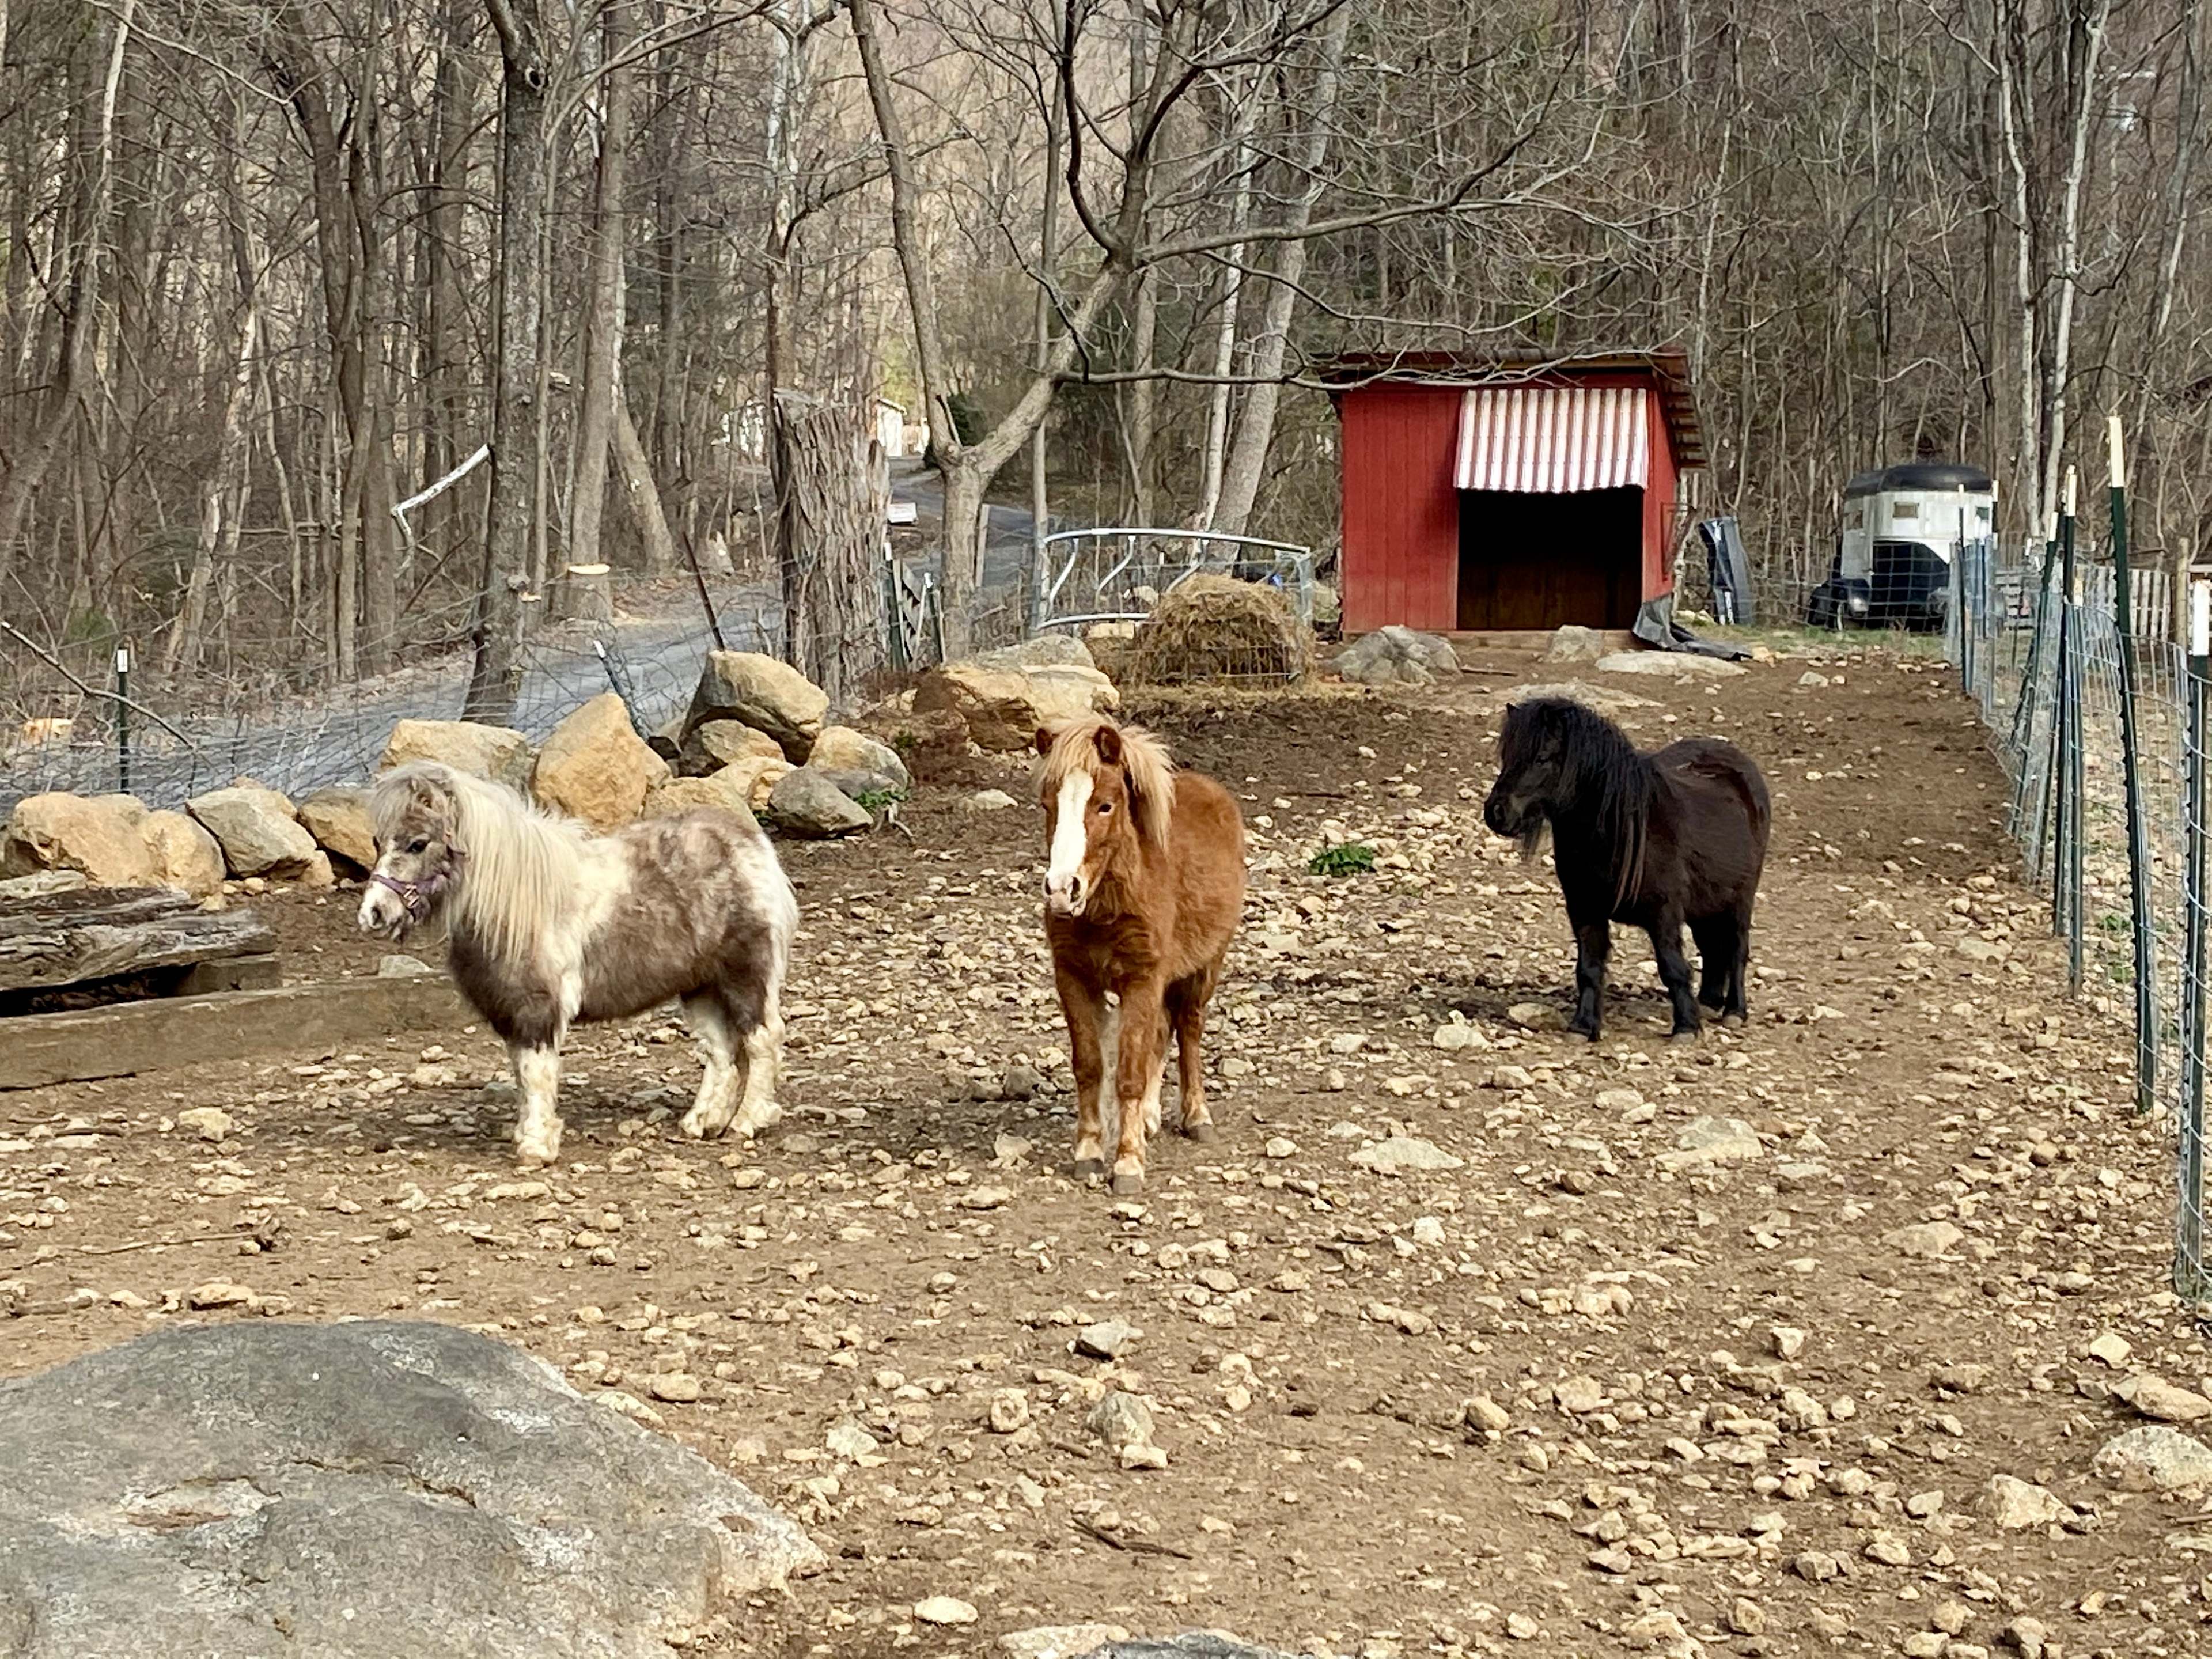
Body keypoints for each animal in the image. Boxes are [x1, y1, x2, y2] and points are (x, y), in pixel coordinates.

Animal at [358, 760, 798, 1167]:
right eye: (378, 841)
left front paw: (537, 1147)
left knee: (762, 1040)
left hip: (746, 977)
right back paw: (702, 1122)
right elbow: (521, 1075)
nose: (373, 914)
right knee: (721, 1050)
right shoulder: (513, 1015)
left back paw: (746, 1123)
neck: (517, 902)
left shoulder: (537, 1010)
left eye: (418, 844)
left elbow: (536, 1073)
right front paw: (527, 1134)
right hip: (701, 985)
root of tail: (752, 847)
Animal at [1034, 714, 1246, 1195]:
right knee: (1162, 1033)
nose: (1062, 889)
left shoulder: (1142, 978)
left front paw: (1128, 1163)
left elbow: (1129, 1070)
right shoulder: (1075, 979)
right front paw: (1090, 1153)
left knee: (1187, 1029)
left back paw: (1196, 1117)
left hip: (1205, 968)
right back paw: (1150, 1117)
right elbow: (1092, 1066)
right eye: (1047, 804)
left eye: (1105, 806)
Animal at [1482, 696, 1770, 1043]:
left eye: (1542, 757)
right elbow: (1589, 968)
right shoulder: (1584, 910)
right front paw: (1583, 1026)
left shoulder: (1664, 913)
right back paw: (1709, 1003)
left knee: (1737, 951)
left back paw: (1734, 1011)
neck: (1615, 831)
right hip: (1706, 905)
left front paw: (1686, 1027)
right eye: (1507, 755)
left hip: (1741, 899)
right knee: (1713, 951)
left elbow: (1673, 967)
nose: (1496, 812)